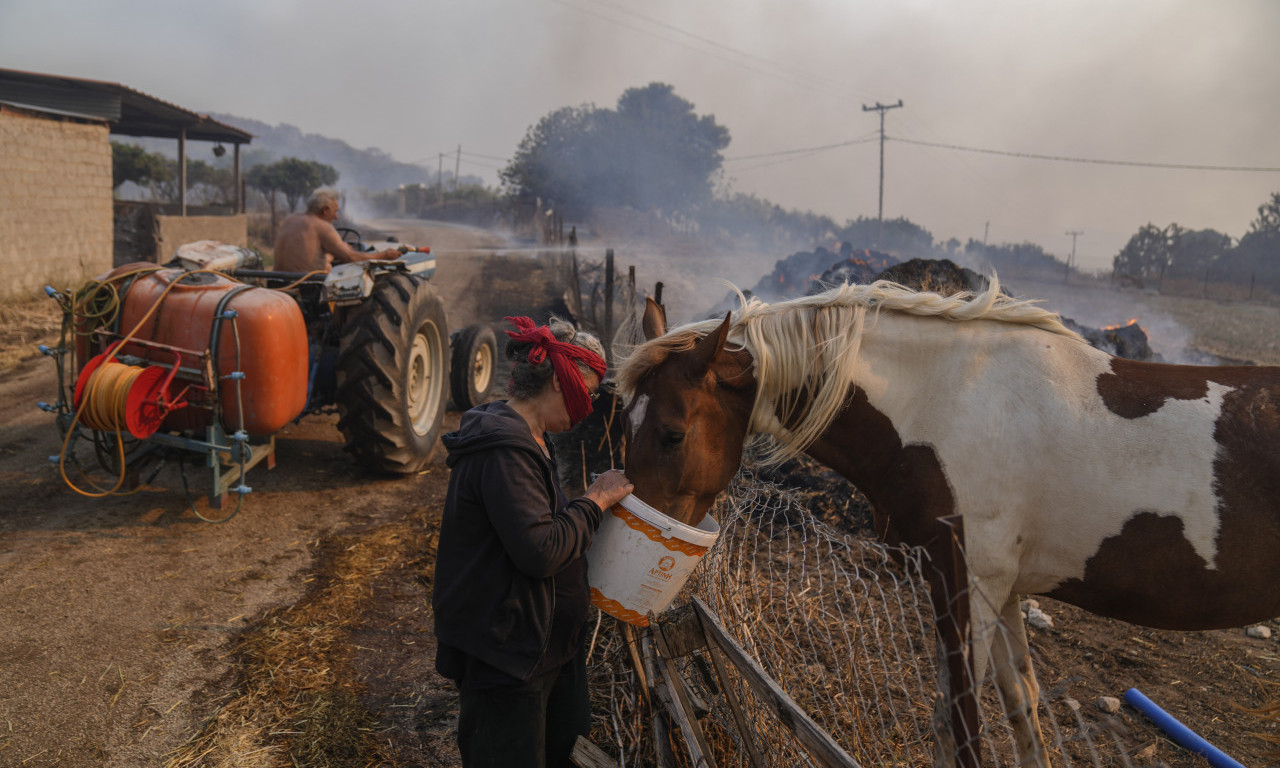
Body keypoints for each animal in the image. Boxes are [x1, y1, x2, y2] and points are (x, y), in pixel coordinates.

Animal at [619, 281, 1280, 768]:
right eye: (626, 420)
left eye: (671, 434)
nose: (638, 531)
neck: (949, 402)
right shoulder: (1002, 589)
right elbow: (1021, 708)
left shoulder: (968, 581)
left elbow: (959, 726)